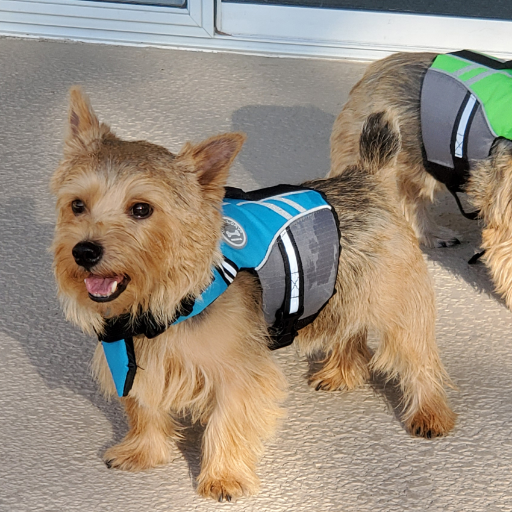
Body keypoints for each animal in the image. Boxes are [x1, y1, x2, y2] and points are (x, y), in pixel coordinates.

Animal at [50, 87, 454, 500]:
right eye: (77, 205)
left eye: (141, 209)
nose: (84, 251)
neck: (163, 299)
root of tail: (366, 177)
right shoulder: (134, 362)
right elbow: (144, 409)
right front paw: (144, 451)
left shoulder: (238, 373)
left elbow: (227, 421)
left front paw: (223, 477)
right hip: (340, 293)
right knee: (349, 330)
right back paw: (342, 372)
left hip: (396, 306)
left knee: (419, 359)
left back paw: (430, 412)